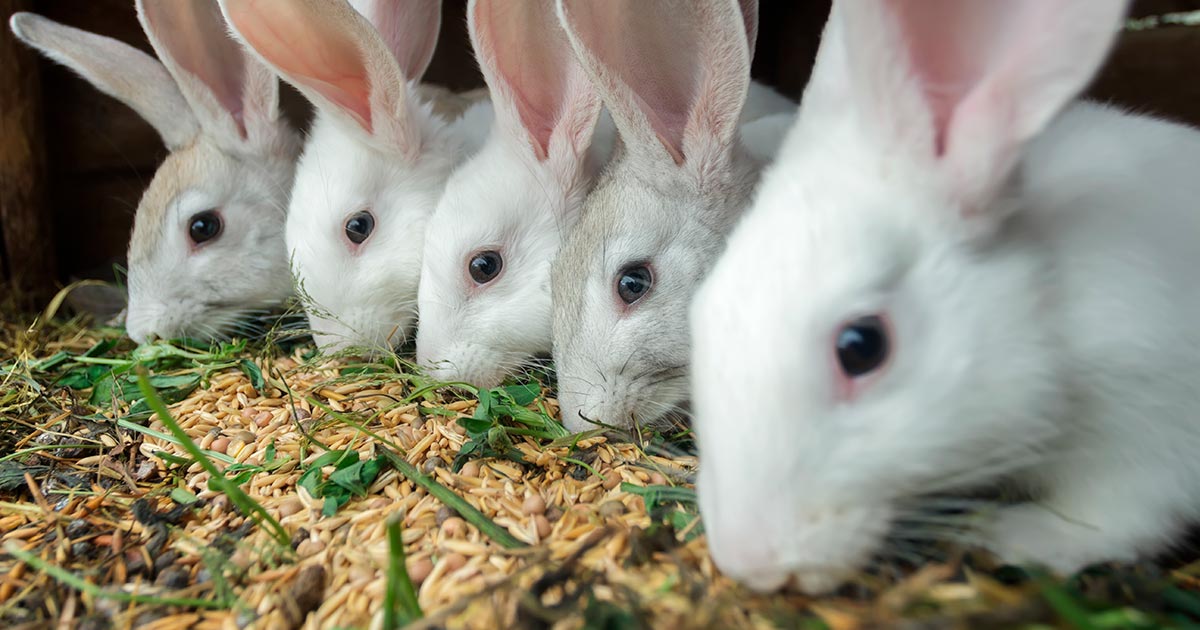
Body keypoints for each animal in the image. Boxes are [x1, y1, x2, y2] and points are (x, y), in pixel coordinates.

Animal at [689, 0, 1200, 595]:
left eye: (862, 347)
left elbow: (1121, 514)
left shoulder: (1153, 431)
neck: (1050, 307)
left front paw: (1020, 535)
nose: (749, 561)